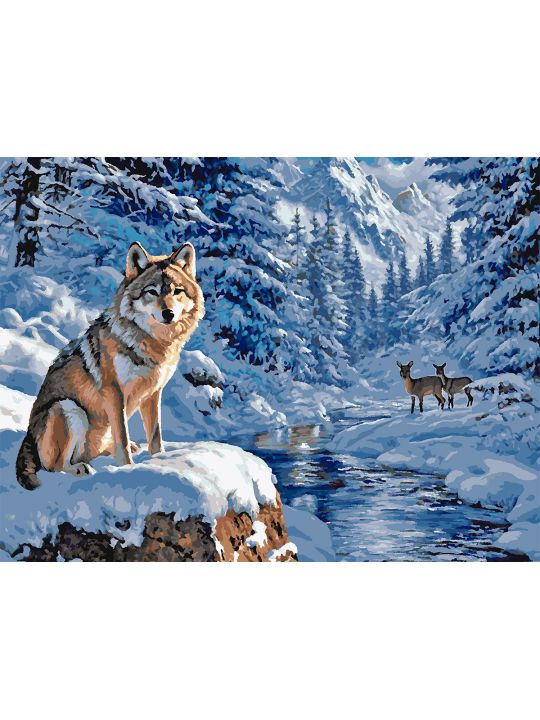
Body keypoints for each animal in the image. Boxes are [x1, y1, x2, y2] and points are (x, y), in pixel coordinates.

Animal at [16, 241, 205, 490]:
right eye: (152, 292)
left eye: (177, 291)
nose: (169, 313)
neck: (151, 343)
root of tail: (27, 437)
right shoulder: (114, 393)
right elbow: (122, 437)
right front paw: (128, 469)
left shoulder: (153, 393)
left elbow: (155, 436)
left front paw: (159, 461)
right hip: (68, 408)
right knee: (54, 466)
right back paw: (80, 469)